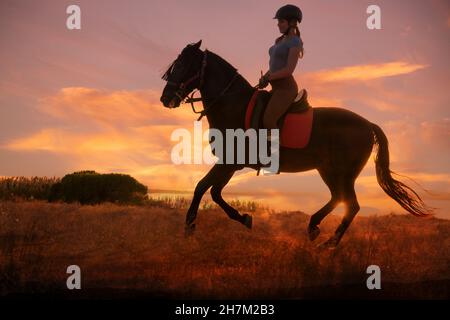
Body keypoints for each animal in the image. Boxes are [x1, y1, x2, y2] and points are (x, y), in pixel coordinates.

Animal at [160, 40, 430, 249]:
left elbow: (201, 187)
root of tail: (368, 124)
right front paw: (245, 218)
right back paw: (314, 228)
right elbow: (214, 192)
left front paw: (189, 228)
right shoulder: (231, 164)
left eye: (182, 65)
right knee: (339, 199)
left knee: (350, 204)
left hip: (342, 172)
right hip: (329, 170)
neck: (233, 104)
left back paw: (327, 242)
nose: (165, 98)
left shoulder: (228, 163)